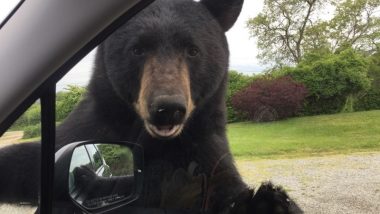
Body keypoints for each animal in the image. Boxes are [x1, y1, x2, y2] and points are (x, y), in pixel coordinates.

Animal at [0, 0, 302, 212]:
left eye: (193, 50)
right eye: (137, 49)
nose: (167, 108)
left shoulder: (205, 147)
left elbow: (221, 186)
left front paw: (270, 201)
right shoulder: (88, 127)